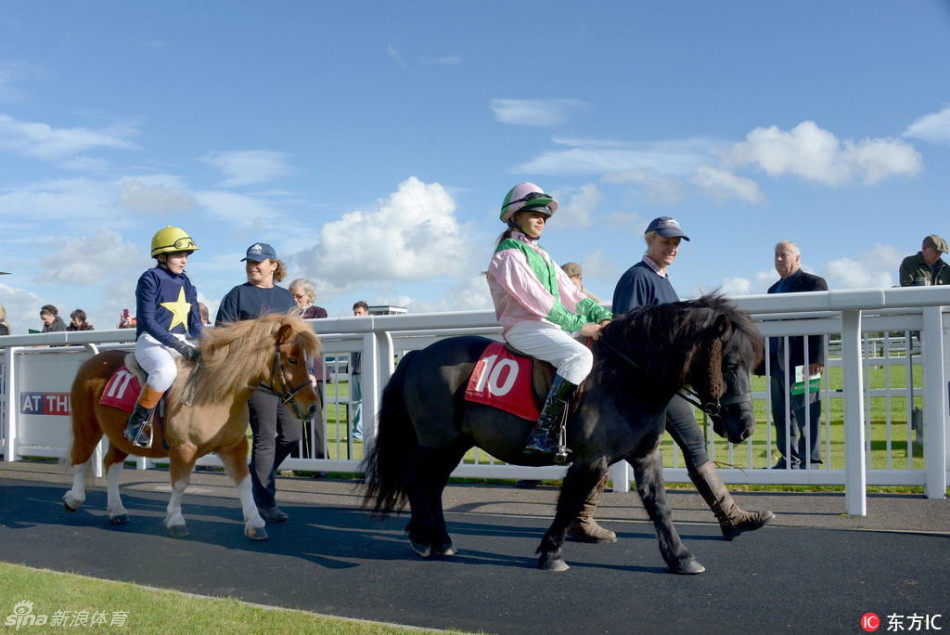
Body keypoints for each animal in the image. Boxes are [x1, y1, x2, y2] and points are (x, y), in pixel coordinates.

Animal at [64, 314, 324, 540]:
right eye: (292, 359)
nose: (313, 407)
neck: (216, 394)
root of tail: (92, 361)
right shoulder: (184, 449)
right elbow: (180, 484)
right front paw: (176, 520)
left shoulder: (235, 447)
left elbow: (244, 482)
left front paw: (255, 522)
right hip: (86, 426)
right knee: (80, 458)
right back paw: (74, 499)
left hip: (120, 436)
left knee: (112, 465)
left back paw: (117, 510)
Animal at [364, 296, 768, 572]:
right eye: (730, 365)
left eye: (752, 365)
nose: (744, 427)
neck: (625, 376)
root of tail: (417, 354)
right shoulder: (591, 459)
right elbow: (570, 502)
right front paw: (550, 553)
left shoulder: (645, 456)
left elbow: (659, 506)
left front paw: (681, 557)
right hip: (436, 442)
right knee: (419, 482)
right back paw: (423, 539)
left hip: (453, 444)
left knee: (432, 486)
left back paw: (441, 541)